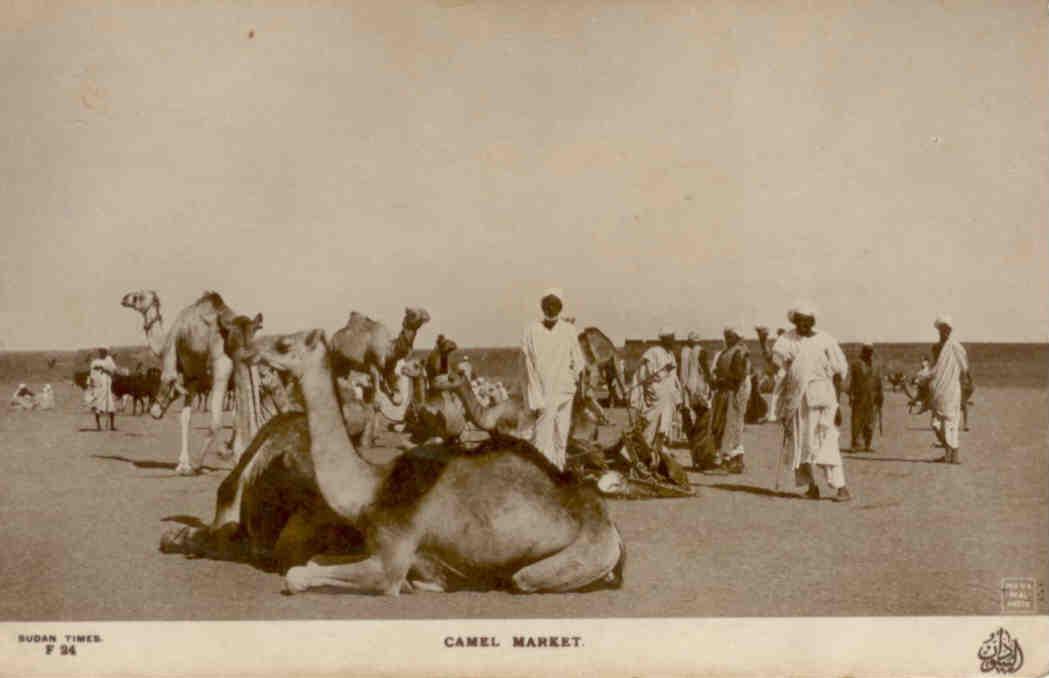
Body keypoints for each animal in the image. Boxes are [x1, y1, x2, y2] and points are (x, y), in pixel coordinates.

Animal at [121, 291, 264, 478]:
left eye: (138, 297)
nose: (124, 298)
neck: (163, 342)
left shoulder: (174, 366)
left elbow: (183, 415)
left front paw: (183, 465)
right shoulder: (193, 378)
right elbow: (186, 416)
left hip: (221, 366)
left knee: (217, 420)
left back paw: (198, 465)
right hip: (250, 367)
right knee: (247, 415)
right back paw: (240, 459)